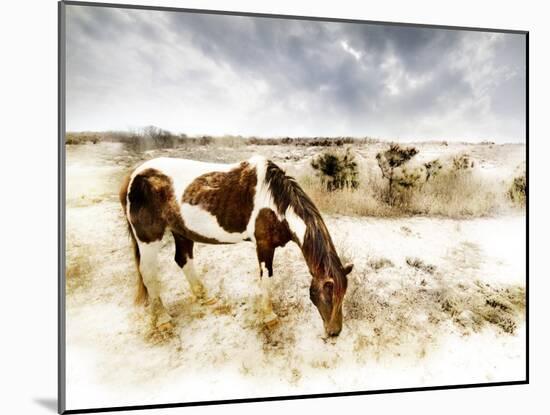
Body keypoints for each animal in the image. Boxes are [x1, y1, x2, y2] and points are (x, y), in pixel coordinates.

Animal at [120, 156, 354, 338]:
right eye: (327, 295)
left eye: (343, 295)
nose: (334, 332)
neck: (275, 203)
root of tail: (133, 176)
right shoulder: (264, 246)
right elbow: (267, 279)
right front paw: (269, 316)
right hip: (148, 238)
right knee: (149, 274)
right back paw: (163, 319)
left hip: (181, 231)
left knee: (183, 259)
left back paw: (205, 297)